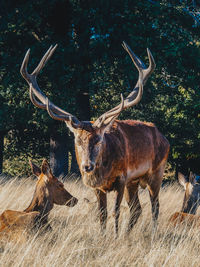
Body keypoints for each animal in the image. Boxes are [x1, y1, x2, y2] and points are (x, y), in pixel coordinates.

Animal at [20, 43, 170, 236]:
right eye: (77, 141)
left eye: (99, 139)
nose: (87, 166)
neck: (103, 174)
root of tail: (163, 137)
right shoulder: (97, 187)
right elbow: (102, 213)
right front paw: (103, 236)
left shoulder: (121, 178)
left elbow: (115, 211)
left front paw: (115, 237)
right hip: (134, 181)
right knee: (137, 209)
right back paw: (128, 234)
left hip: (156, 172)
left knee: (155, 206)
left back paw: (151, 234)